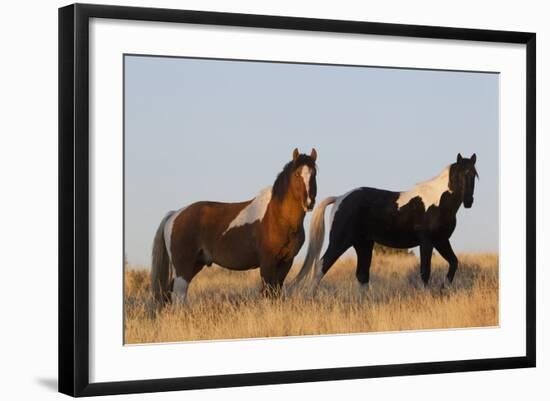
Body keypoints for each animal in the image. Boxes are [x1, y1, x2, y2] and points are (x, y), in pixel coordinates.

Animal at [151, 148, 320, 304]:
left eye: (314, 174)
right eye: (297, 174)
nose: (309, 202)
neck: (278, 217)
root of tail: (175, 215)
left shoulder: (286, 262)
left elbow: (276, 293)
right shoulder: (267, 262)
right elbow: (267, 293)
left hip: (195, 264)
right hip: (183, 268)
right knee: (178, 295)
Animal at [294, 153, 478, 290]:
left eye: (474, 175)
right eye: (460, 174)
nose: (469, 201)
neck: (437, 201)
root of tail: (339, 198)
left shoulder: (441, 240)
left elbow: (454, 262)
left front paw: (443, 287)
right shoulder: (427, 241)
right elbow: (425, 272)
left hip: (363, 244)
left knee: (362, 276)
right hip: (340, 241)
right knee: (321, 267)